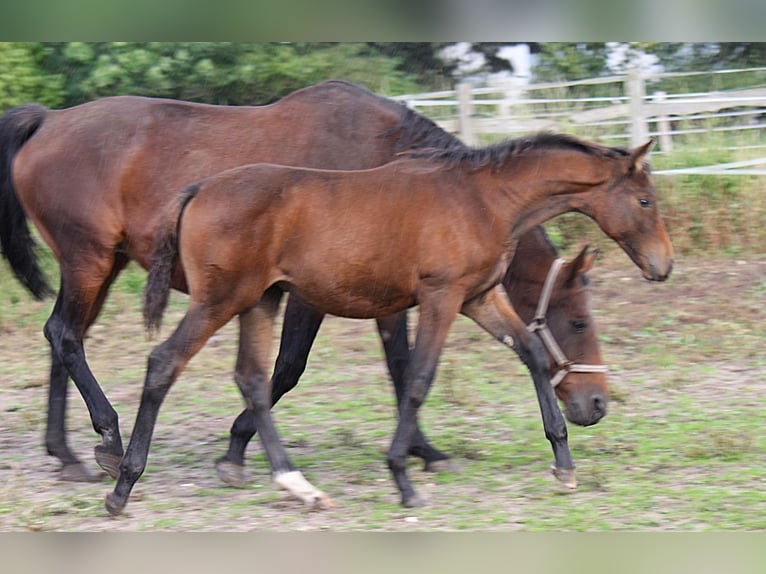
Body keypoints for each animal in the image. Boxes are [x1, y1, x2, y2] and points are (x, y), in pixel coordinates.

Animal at [1, 80, 612, 486]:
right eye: (579, 321)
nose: (597, 404)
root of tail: (48, 121)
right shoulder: (323, 295)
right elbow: (309, 368)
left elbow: (388, 367)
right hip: (89, 260)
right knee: (67, 336)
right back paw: (106, 437)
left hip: (102, 266)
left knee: (61, 337)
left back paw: (69, 453)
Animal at [105, 133, 676, 516]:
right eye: (645, 200)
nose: (663, 265)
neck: (484, 200)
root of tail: (198, 189)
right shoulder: (441, 297)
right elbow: (419, 378)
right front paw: (403, 477)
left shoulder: (479, 297)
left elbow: (532, 355)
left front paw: (564, 464)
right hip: (221, 299)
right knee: (165, 362)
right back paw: (122, 487)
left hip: (261, 300)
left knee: (251, 378)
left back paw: (299, 486)